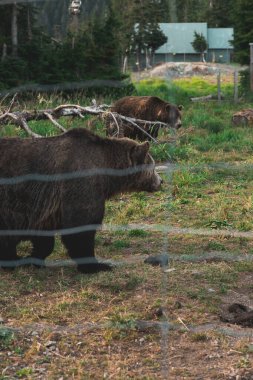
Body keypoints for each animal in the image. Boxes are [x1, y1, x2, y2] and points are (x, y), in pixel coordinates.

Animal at [0, 127, 162, 274]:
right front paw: (97, 265)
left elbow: (44, 237)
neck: (107, 172)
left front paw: (32, 259)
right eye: (153, 166)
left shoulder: (43, 207)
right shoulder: (80, 183)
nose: (161, 181)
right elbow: (81, 226)